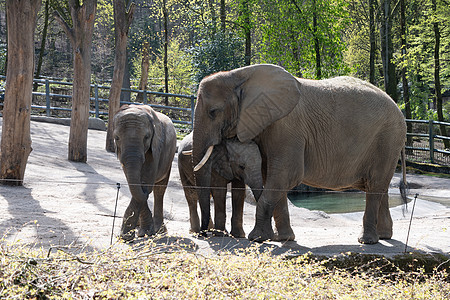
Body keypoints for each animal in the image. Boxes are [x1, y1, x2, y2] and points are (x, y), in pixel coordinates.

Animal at [112, 104, 176, 240]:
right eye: (116, 138)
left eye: (146, 137)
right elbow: (135, 185)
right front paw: (130, 235)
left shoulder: (156, 148)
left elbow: (145, 184)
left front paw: (132, 235)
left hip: (169, 159)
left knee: (159, 191)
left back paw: (159, 230)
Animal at [193, 63, 408, 244]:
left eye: (213, 112)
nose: (204, 234)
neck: (239, 75)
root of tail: (399, 110)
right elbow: (271, 176)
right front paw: (283, 239)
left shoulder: (287, 128)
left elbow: (285, 175)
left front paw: (258, 238)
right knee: (379, 186)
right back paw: (384, 236)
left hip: (388, 138)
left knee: (375, 185)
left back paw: (367, 241)